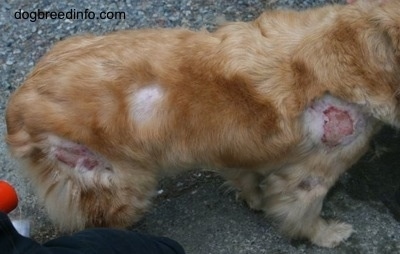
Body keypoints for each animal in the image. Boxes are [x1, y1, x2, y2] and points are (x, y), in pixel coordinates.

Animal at [4, 0, 400, 248]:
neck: (359, 44)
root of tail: (18, 107)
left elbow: (246, 176)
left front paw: (254, 198)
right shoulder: (312, 174)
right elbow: (304, 213)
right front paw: (327, 235)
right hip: (118, 185)